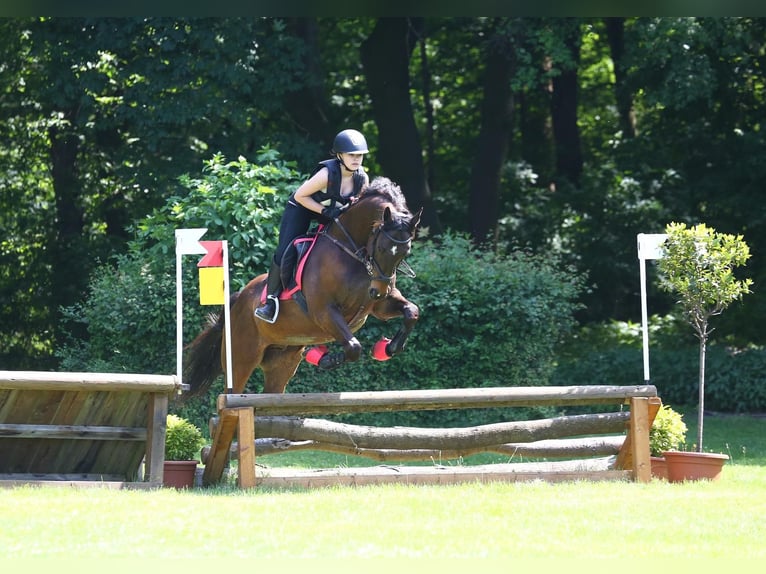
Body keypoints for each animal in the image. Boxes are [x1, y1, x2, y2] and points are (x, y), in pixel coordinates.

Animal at [184, 178, 426, 398]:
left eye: (406, 251)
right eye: (382, 247)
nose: (378, 291)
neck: (352, 253)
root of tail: (237, 299)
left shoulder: (377, 306)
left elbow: (411, 311)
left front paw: (389, 348)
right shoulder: (323, 311)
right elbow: (353, 347)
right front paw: (327, 359)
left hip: (282, 362)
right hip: (241, 360)